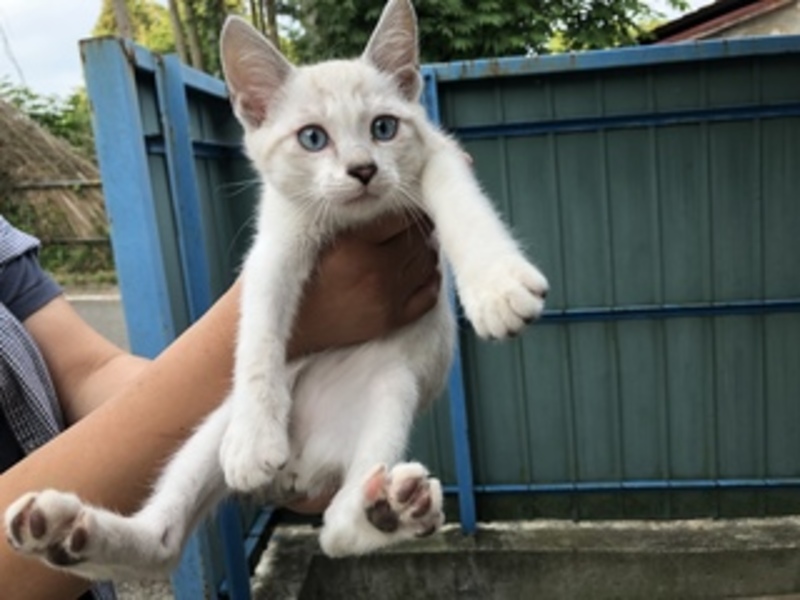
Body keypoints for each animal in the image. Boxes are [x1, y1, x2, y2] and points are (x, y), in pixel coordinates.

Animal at [4, 0, 548, 582]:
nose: (363, 169)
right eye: (312, 138)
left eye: (383, 127)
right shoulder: (275, 244)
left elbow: (461, 202)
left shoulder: (438, 153)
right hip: (211, 427)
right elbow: (259, 331)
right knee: (165, 540)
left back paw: (387, 512)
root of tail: (304, 470)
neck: (352, 224)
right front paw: (253, 440)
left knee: (336, 531)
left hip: (393, 389)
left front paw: (497, 286)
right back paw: (65, 533)